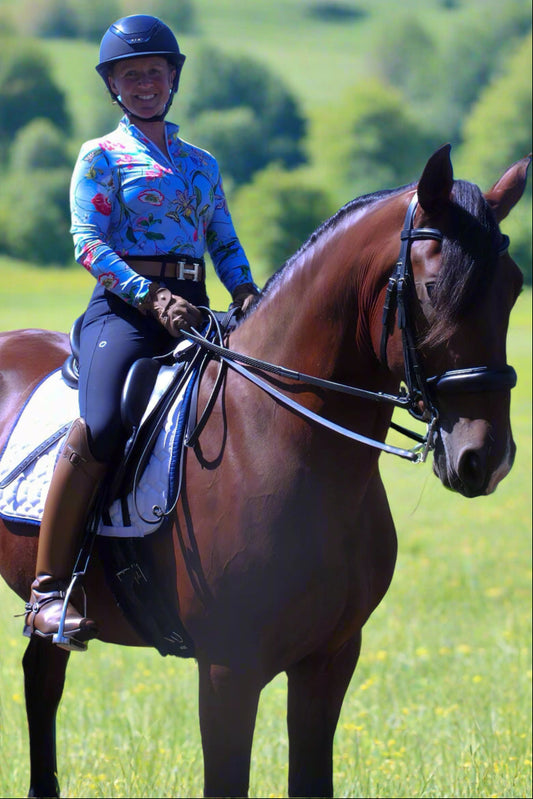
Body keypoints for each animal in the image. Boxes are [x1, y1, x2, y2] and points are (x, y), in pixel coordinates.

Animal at [0, 144, 529, 798]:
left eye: (513, 287)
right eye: (432, 288)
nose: (485, 456)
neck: (279, 441)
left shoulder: (330, 659)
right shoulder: (230, 667)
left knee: (42, 678)